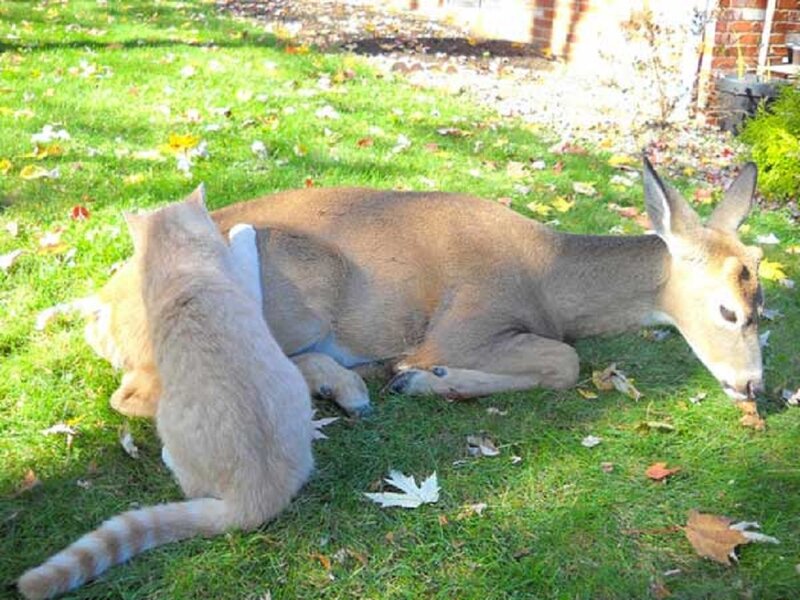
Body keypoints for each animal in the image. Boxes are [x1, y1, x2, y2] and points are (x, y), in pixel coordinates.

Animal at [78, 157, 764, 419]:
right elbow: (565, 361)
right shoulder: (465, 323)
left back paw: (346, 385)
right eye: (728, 311)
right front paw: (422, 378)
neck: (549, 277)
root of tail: (102, 312)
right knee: (140, 393)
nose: (755, 385)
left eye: (763, 303)